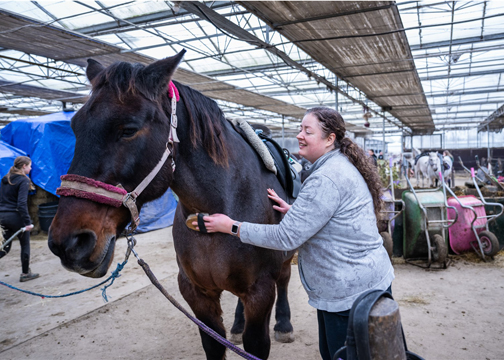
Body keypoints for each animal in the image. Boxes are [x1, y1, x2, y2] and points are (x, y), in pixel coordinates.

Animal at [47, 50, 296, 360]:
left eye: (128, 129)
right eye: (74, 127)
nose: (67, 242)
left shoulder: (260, 292)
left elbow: (257, 344)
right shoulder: (196, 293)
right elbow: (214, 343)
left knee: (285, 279)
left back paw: (284, 324)